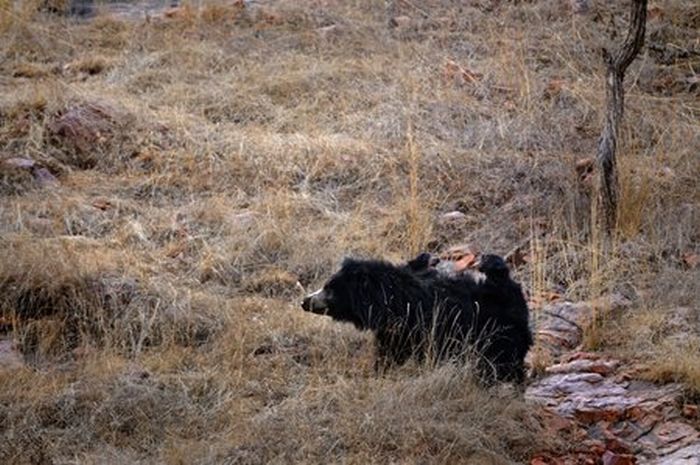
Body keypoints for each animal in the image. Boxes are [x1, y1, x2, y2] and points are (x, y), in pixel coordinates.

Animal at [300, 254, 532, 380]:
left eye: (329, 289)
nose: (305, 302)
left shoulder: (414, 327)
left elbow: (394, 354)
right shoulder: (394, 329)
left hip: (498, 336)